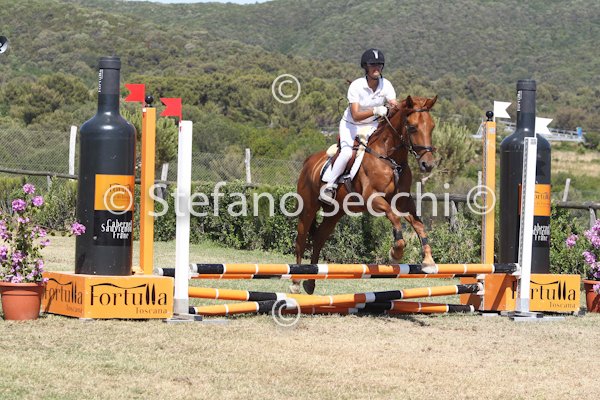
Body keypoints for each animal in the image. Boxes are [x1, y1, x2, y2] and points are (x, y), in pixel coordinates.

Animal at [292, 95, 438, 294]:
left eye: (432, 127)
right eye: (412, 127)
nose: (427, 164)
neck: (390, 159)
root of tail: (308, 162)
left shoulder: (403, 201)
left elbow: (418, 224)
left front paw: (428, 261)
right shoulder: (372, 198)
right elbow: (394, 217)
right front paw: (396, 253)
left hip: (335, 212)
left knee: (319, 238)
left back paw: (310, 281)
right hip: (308, 208)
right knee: (301, 239)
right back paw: (296, 283)